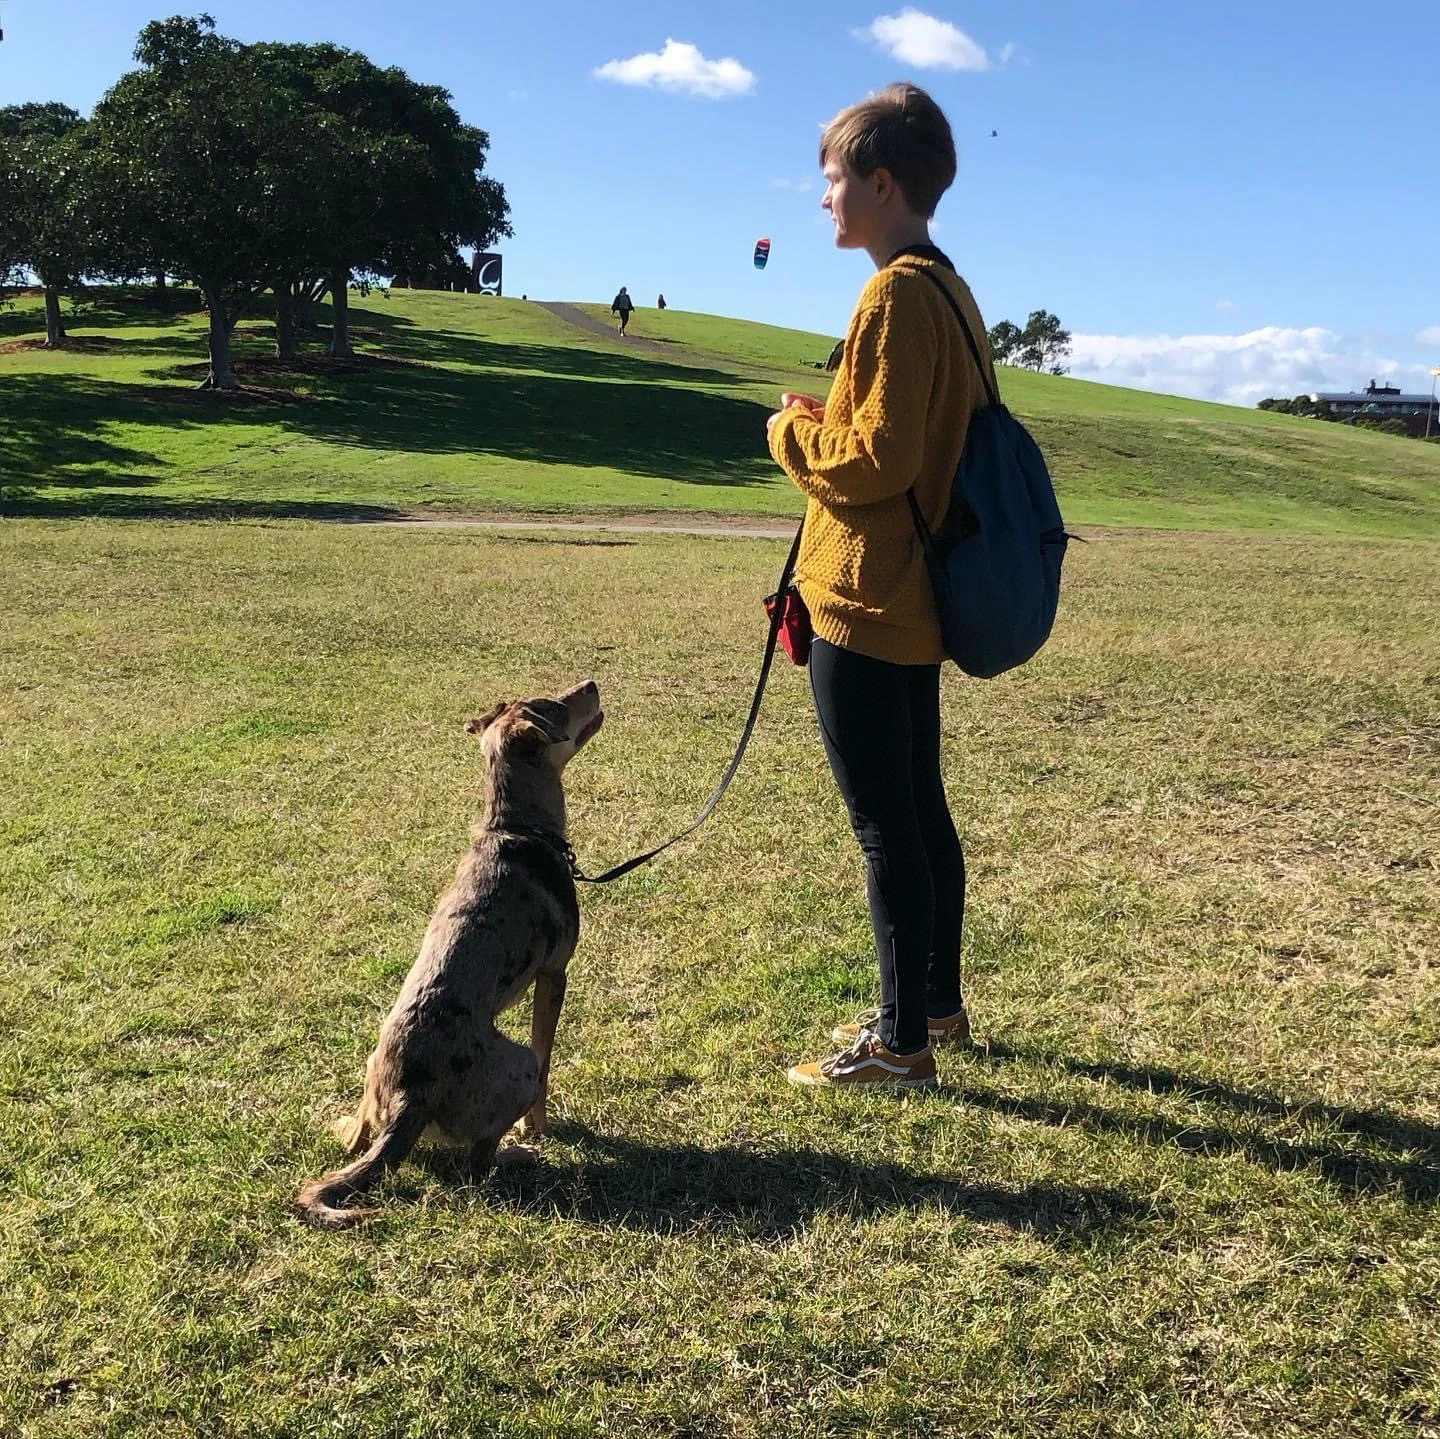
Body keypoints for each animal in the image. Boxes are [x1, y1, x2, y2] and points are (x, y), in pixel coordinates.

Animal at [298, 682, 601, 1227]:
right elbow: (547, 1059)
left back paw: (347, 1126)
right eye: (556, 706)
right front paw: (538, 1130)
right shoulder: (554, 974)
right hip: (515, 1065)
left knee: (360, 1139)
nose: (591, 684)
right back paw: (516, 1155)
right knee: (476, 1167)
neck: (517, 827)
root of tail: (407, 1101)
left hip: (373, 1068)